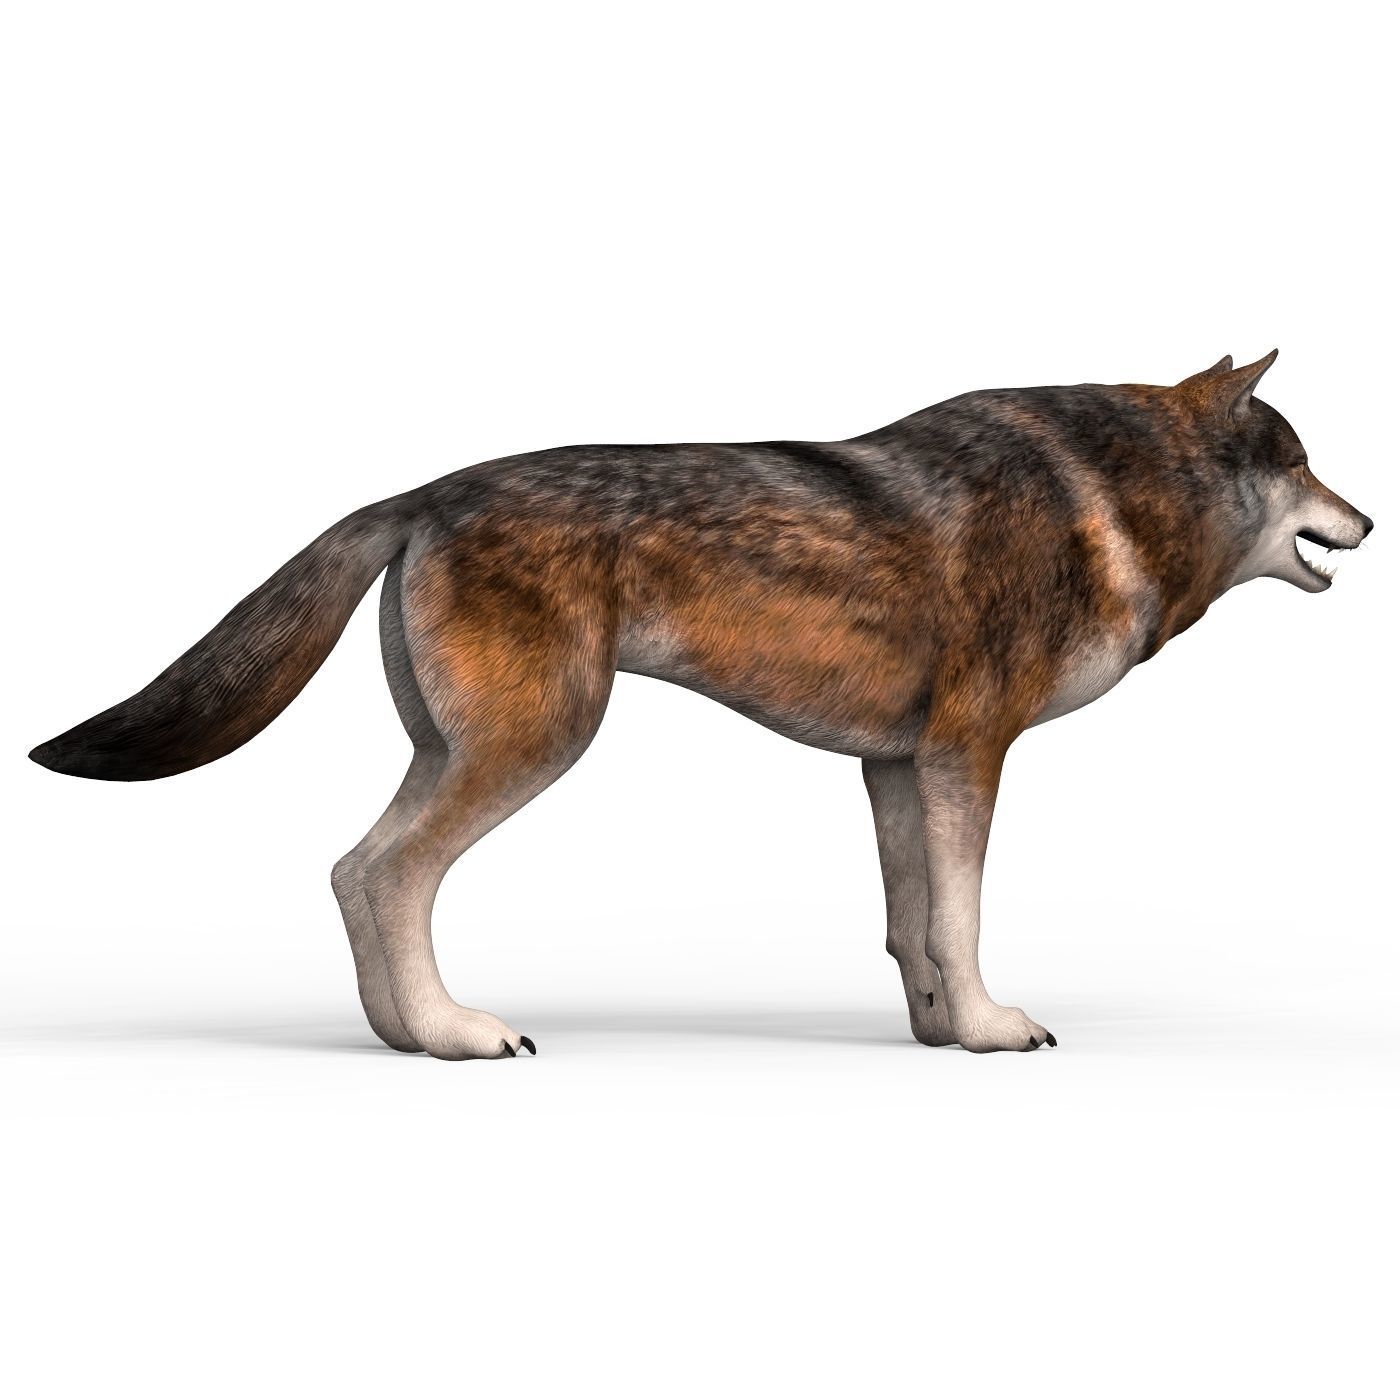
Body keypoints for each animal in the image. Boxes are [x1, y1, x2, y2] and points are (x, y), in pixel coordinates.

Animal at [29, 352, 1372, 1058]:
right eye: (1302, 463)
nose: (1365, 520)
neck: (1115, 497)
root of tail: (420, 493)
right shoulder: (966, 757)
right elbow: (961, 917)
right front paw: (994, 1027)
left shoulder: (896, 766)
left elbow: (912, 924)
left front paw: (939, 1032)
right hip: (537, 744)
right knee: (383, 870)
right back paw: (459, 1034)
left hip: (466, 746)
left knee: (353, 870)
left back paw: (402, 1032)